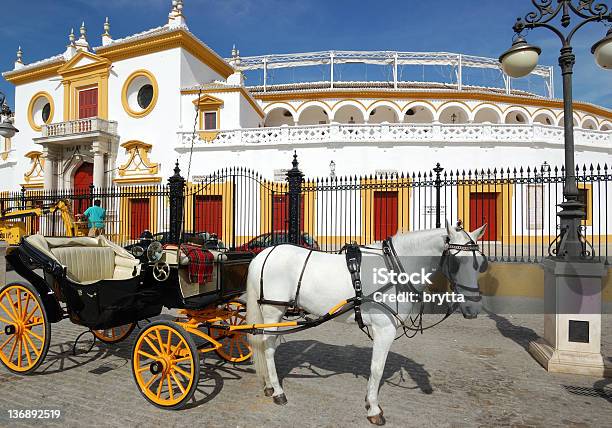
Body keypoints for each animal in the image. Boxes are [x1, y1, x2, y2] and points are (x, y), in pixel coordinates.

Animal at [246, 221, 486, 424]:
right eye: (457, 262)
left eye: (480, 265)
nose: (473, 308)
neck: (394, 271)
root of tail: (263, 254)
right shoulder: (384, 329)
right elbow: (377, 368)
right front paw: (374, 408)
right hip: (273, 311)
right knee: (268, 348)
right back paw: (278, 391)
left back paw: (269, 385)